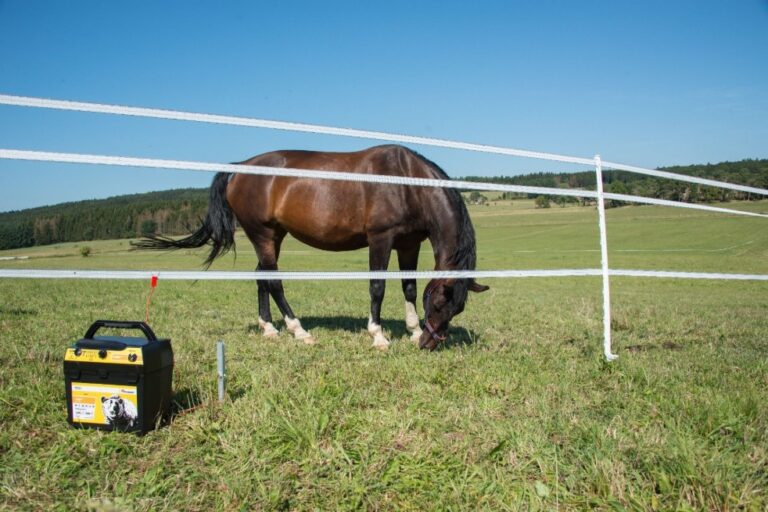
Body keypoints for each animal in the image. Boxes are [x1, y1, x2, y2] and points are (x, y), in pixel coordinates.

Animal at [134, 144, 489, 350]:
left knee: (261, 277)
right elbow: (377, 286)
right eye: (441, 303)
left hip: (273, 237)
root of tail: (240, 168)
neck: (405, 181)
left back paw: (269, 329)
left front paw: (412, 330)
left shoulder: (408, 244)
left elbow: (410, 287)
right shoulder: (381, 239)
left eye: (457, 308)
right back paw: (298, 330)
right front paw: (378, 335)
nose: (429, 343)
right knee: (274, 281)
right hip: (263, 234)